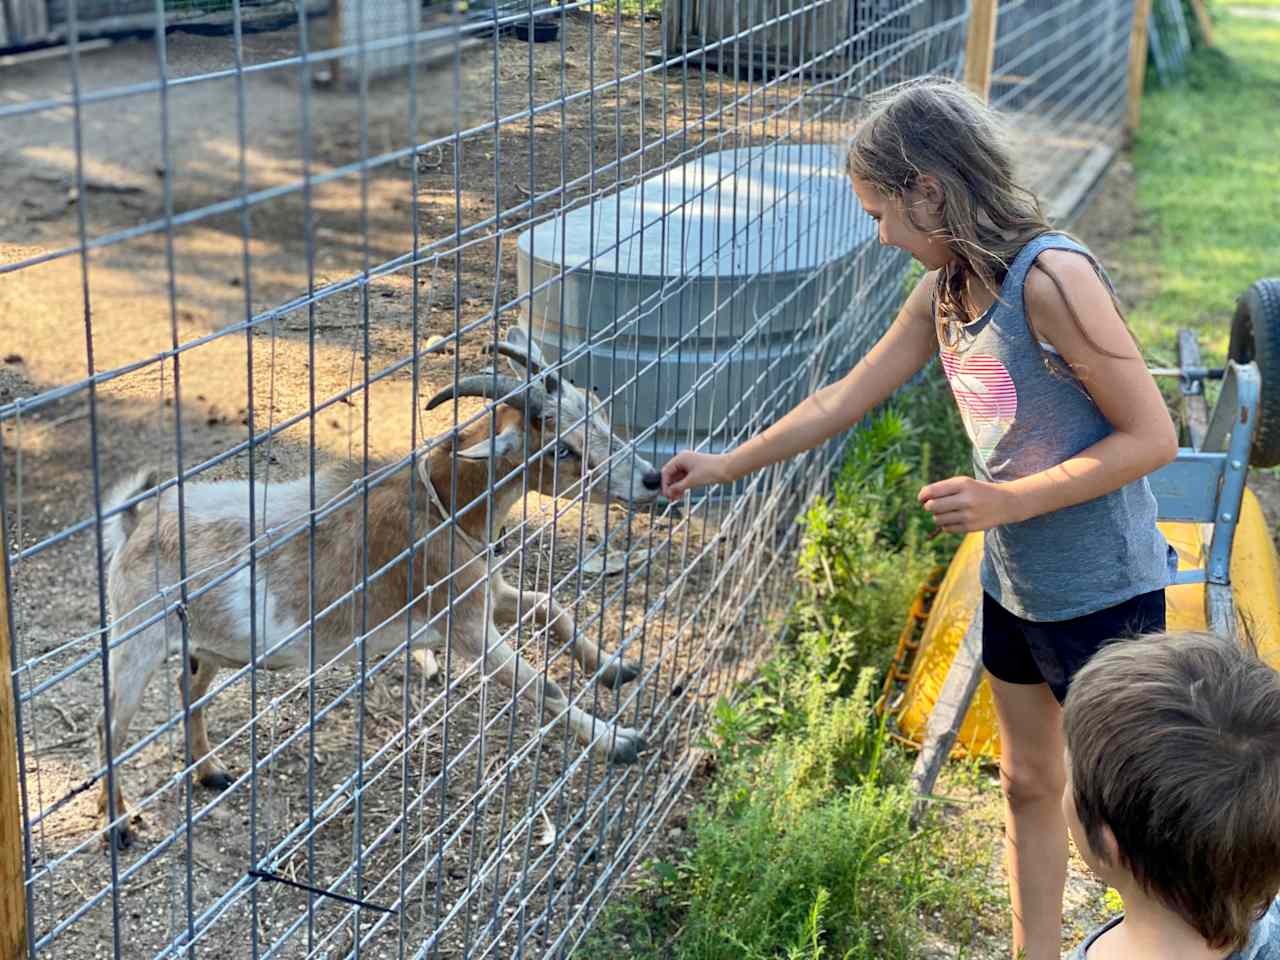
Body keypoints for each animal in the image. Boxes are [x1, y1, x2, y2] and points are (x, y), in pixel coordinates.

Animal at [97, 330, 660, 849]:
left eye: (597, 408)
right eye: (563, 449)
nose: (652, 479)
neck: (441, 506)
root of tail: (134, 525)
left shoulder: (487, 594)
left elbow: (550, 607)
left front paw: (615, 668)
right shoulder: (465, 627)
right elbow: (544, 687)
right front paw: (620, 741)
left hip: (204, 646)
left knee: (187, 690)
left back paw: (210, 770)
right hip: (136, 639)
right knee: (113, 726)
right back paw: (118, 824)